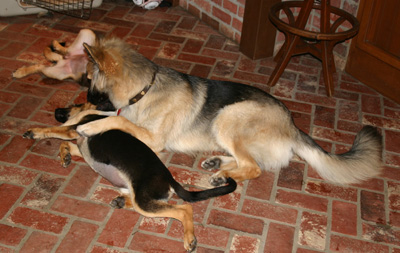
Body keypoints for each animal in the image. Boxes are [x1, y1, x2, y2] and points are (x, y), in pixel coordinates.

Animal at [23, 109, 236, 253]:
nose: (56, 111)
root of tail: (169, 178)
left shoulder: (74, 130)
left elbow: (54, 131)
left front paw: (34, 131)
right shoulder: (81, 146)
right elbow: (65, 145)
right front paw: (64, 156)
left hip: (144, 201)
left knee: (184, 209)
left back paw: (189, 238)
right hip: (137, 194)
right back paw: (120, 201)